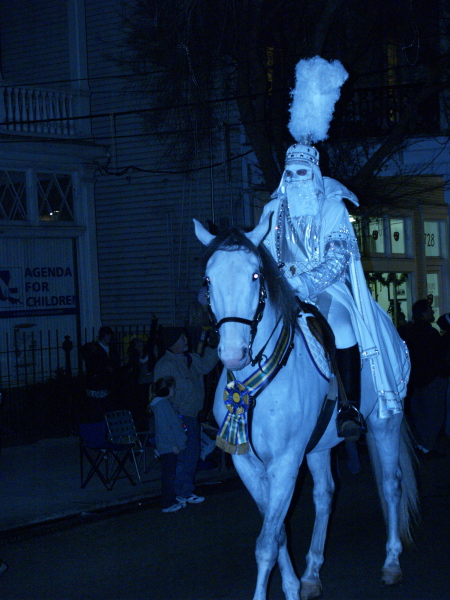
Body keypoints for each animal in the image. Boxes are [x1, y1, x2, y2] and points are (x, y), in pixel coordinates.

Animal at [195, 217, 420, 600]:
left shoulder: (285, 461)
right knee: (325, 493)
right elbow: (277, 534)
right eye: (209, 280)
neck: (255, 385)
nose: (232, 354)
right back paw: (312, 573)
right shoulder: (248, 464)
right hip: (319, 444)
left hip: (383, 423)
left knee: (391, 485)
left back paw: (391, 564)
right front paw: (292, 587)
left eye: (255, 276)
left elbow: (266, 543)